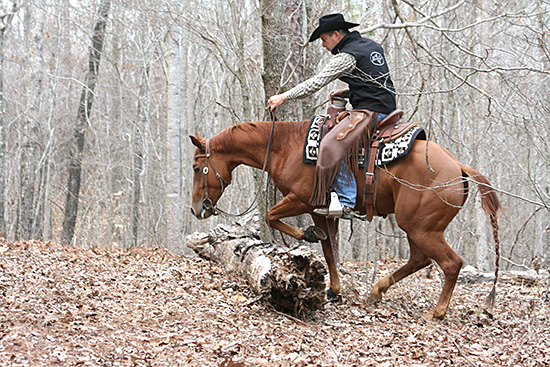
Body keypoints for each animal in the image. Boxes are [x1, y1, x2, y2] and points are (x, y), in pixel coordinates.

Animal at [191, 117, 504, 320]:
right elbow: (329, 249)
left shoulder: (301, 200)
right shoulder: (320, 211)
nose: (196, 209)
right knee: (420, 259)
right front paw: (334, 289)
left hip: (421, 228)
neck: (286, 147)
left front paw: (306, 236)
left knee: (450, 263)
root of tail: (459, 167)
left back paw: (435, 313)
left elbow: (271, 217)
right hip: (418, 228)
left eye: (196, 168)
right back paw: (377, 290)